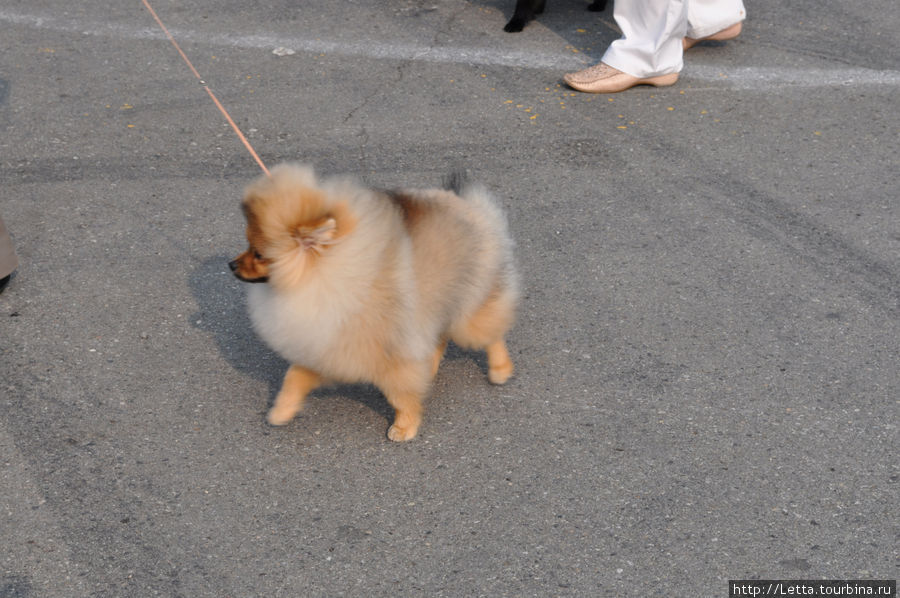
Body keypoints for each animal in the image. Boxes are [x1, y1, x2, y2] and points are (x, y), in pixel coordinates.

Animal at [229, 163, 516, 440]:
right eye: (248, 245)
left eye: (259, 254)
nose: (231, 264)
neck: (322, 280)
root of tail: (468, 204)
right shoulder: (325, 344)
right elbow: (294, 377)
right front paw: (281, 410)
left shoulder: (388, 352)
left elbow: (400, 395)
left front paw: (404, 427)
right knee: (439, 339)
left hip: (468, 309)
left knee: (490, 334)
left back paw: (500, 369)